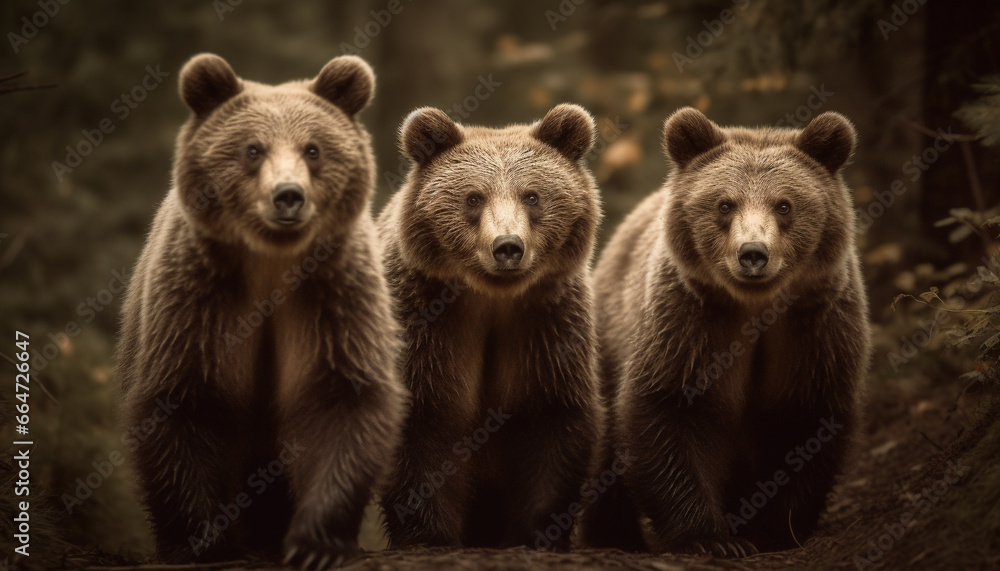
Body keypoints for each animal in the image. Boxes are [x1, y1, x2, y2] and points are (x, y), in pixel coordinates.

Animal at [115, 53, 407, 569]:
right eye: (252, 149)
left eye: (313, 149)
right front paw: (204, 540)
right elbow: (182, 402)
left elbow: (343, 401)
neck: (271, 264)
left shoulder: (333, 301)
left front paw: (316, 542)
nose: (288, 195)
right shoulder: (198, 304)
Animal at [377, 104, 604, 550]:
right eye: (473, 197)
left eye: (532, 196)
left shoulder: (545, 327)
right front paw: (427, 534)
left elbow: (550, 419)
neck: (491, 298)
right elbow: (424, 418)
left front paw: (539, 532)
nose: (508, 246)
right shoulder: (426, 323)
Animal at [580, 107, 871, 556]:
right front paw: (711, 538)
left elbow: (807, 420)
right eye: (724, 203)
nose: (753, 254)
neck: (756, 308)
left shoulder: (815, 331)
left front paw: (774, 529)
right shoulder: (691, 323)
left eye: (784, 205)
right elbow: (665, 408)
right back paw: (613, 534)